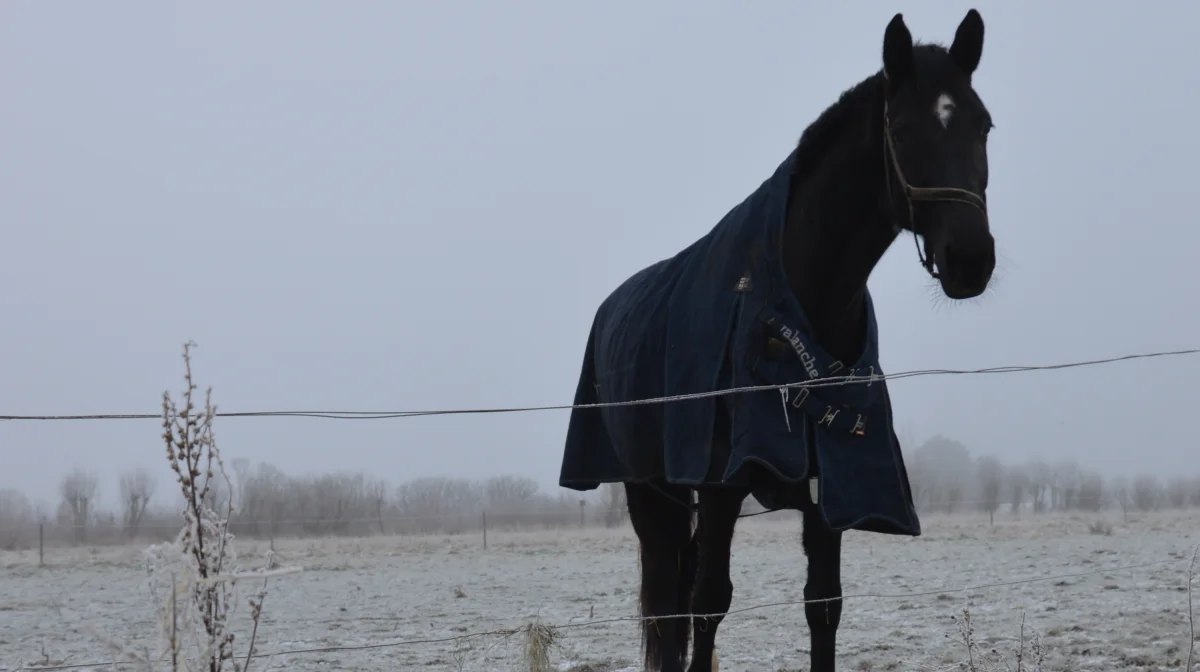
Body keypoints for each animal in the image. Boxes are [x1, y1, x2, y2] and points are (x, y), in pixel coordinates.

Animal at [556, 10, 998, 672]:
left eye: (983, 124)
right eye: (901, 128)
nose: (971, 260)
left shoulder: (832, 492)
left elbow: (824, 606)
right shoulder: (719, 490)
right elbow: (708, 603)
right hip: (649, 492)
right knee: (670, 604)